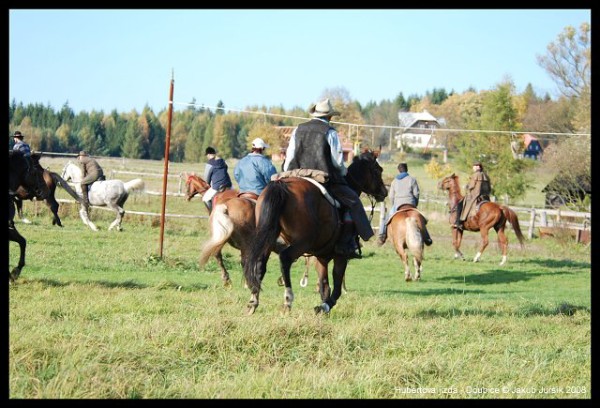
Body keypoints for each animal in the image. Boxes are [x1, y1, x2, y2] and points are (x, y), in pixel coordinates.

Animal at [241, 151, 386, 316]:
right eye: (378, 170)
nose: (384, 192)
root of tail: (281, 186)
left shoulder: (321, 257)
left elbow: (324, 286)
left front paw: (323, 307)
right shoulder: (340, 256)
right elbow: (336, 288)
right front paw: (325, 306)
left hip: (268, 240)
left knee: (259, 264)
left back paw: (253, 300)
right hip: (302, 243)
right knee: (285, 259)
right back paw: (287, 299)